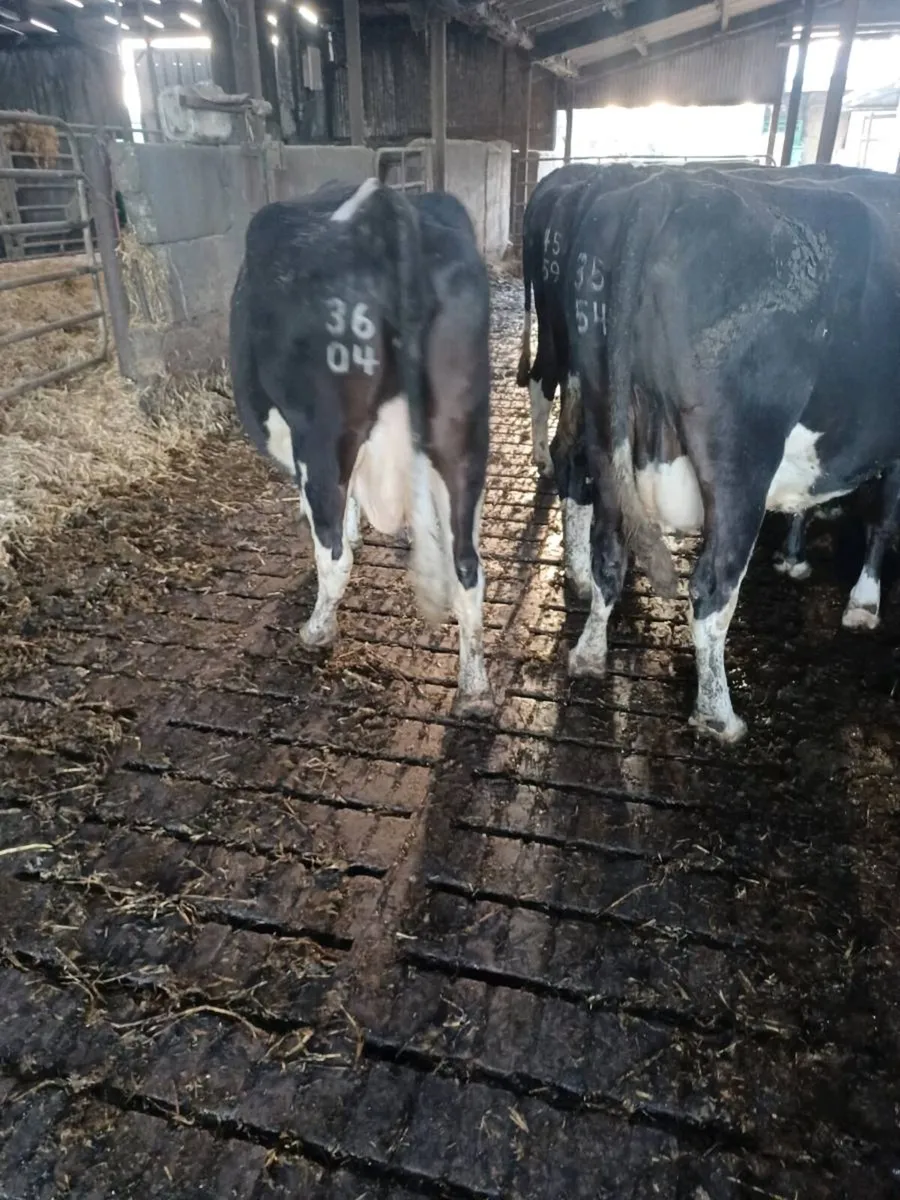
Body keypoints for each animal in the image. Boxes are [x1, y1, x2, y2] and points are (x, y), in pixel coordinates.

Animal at [229, 178, 493, 718]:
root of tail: (385, 209)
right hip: (464, 437)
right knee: (468, 567)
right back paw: (475, 689)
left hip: (322, 435)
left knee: (332, 558)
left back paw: (316, 631)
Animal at [561, 167, 900, 741]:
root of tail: (666, 186)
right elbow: (883, 519)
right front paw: (864, 602)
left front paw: (794, 559)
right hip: (741, 458)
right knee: (713, 587)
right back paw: (719, 714)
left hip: (604, 420)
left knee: (608, 550)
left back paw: (587, 654)